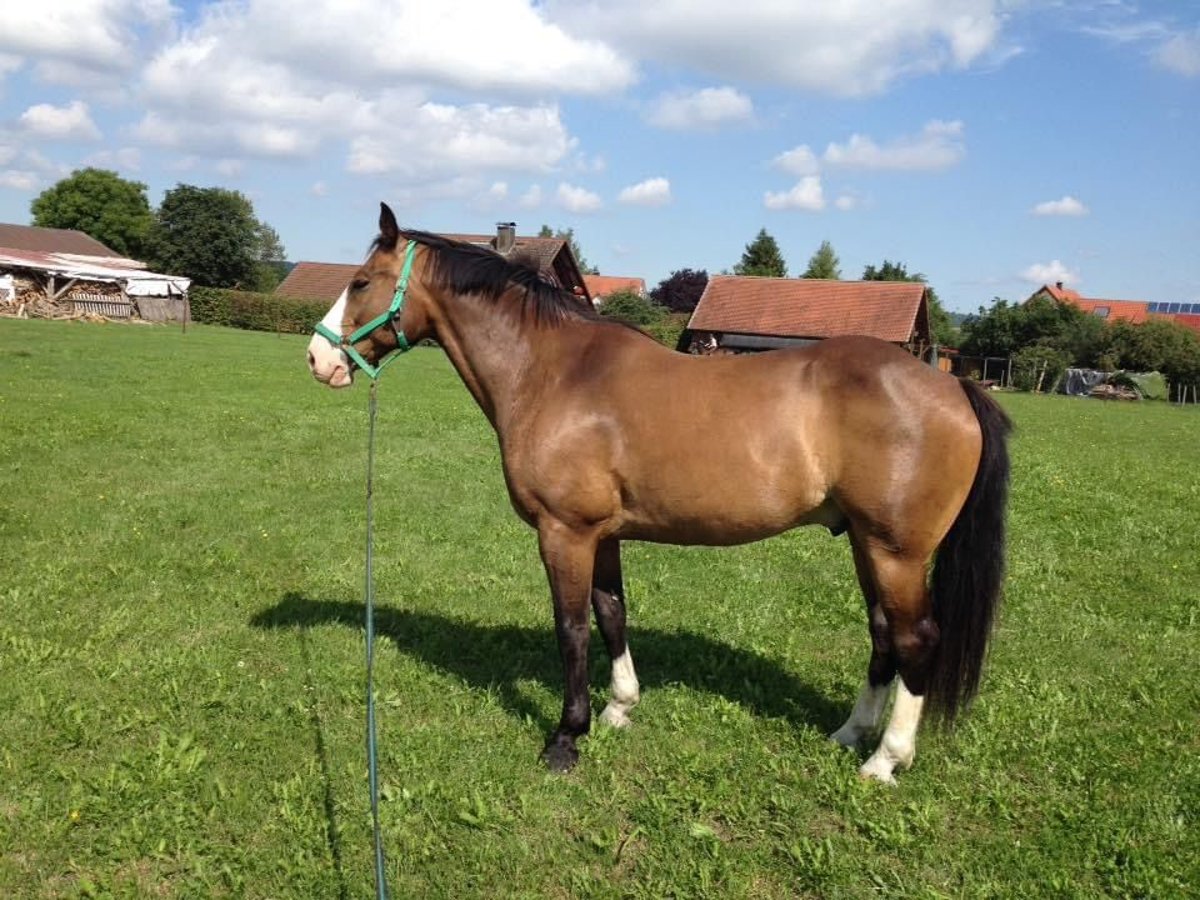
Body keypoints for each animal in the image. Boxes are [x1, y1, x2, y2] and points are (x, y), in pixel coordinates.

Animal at [307, 202, 1012, 782]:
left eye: (361, 282)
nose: (319, 360)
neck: (554, 373)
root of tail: (951, 386)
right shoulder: (602, 534)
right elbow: (611, 612)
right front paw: (619, 708)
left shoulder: (564, 532)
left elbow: (571, 627)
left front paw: (566, 738)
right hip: (865, 544)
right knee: (883, 634)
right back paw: (850, 733)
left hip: (896, 552)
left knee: (916, 638)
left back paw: (885, 760)